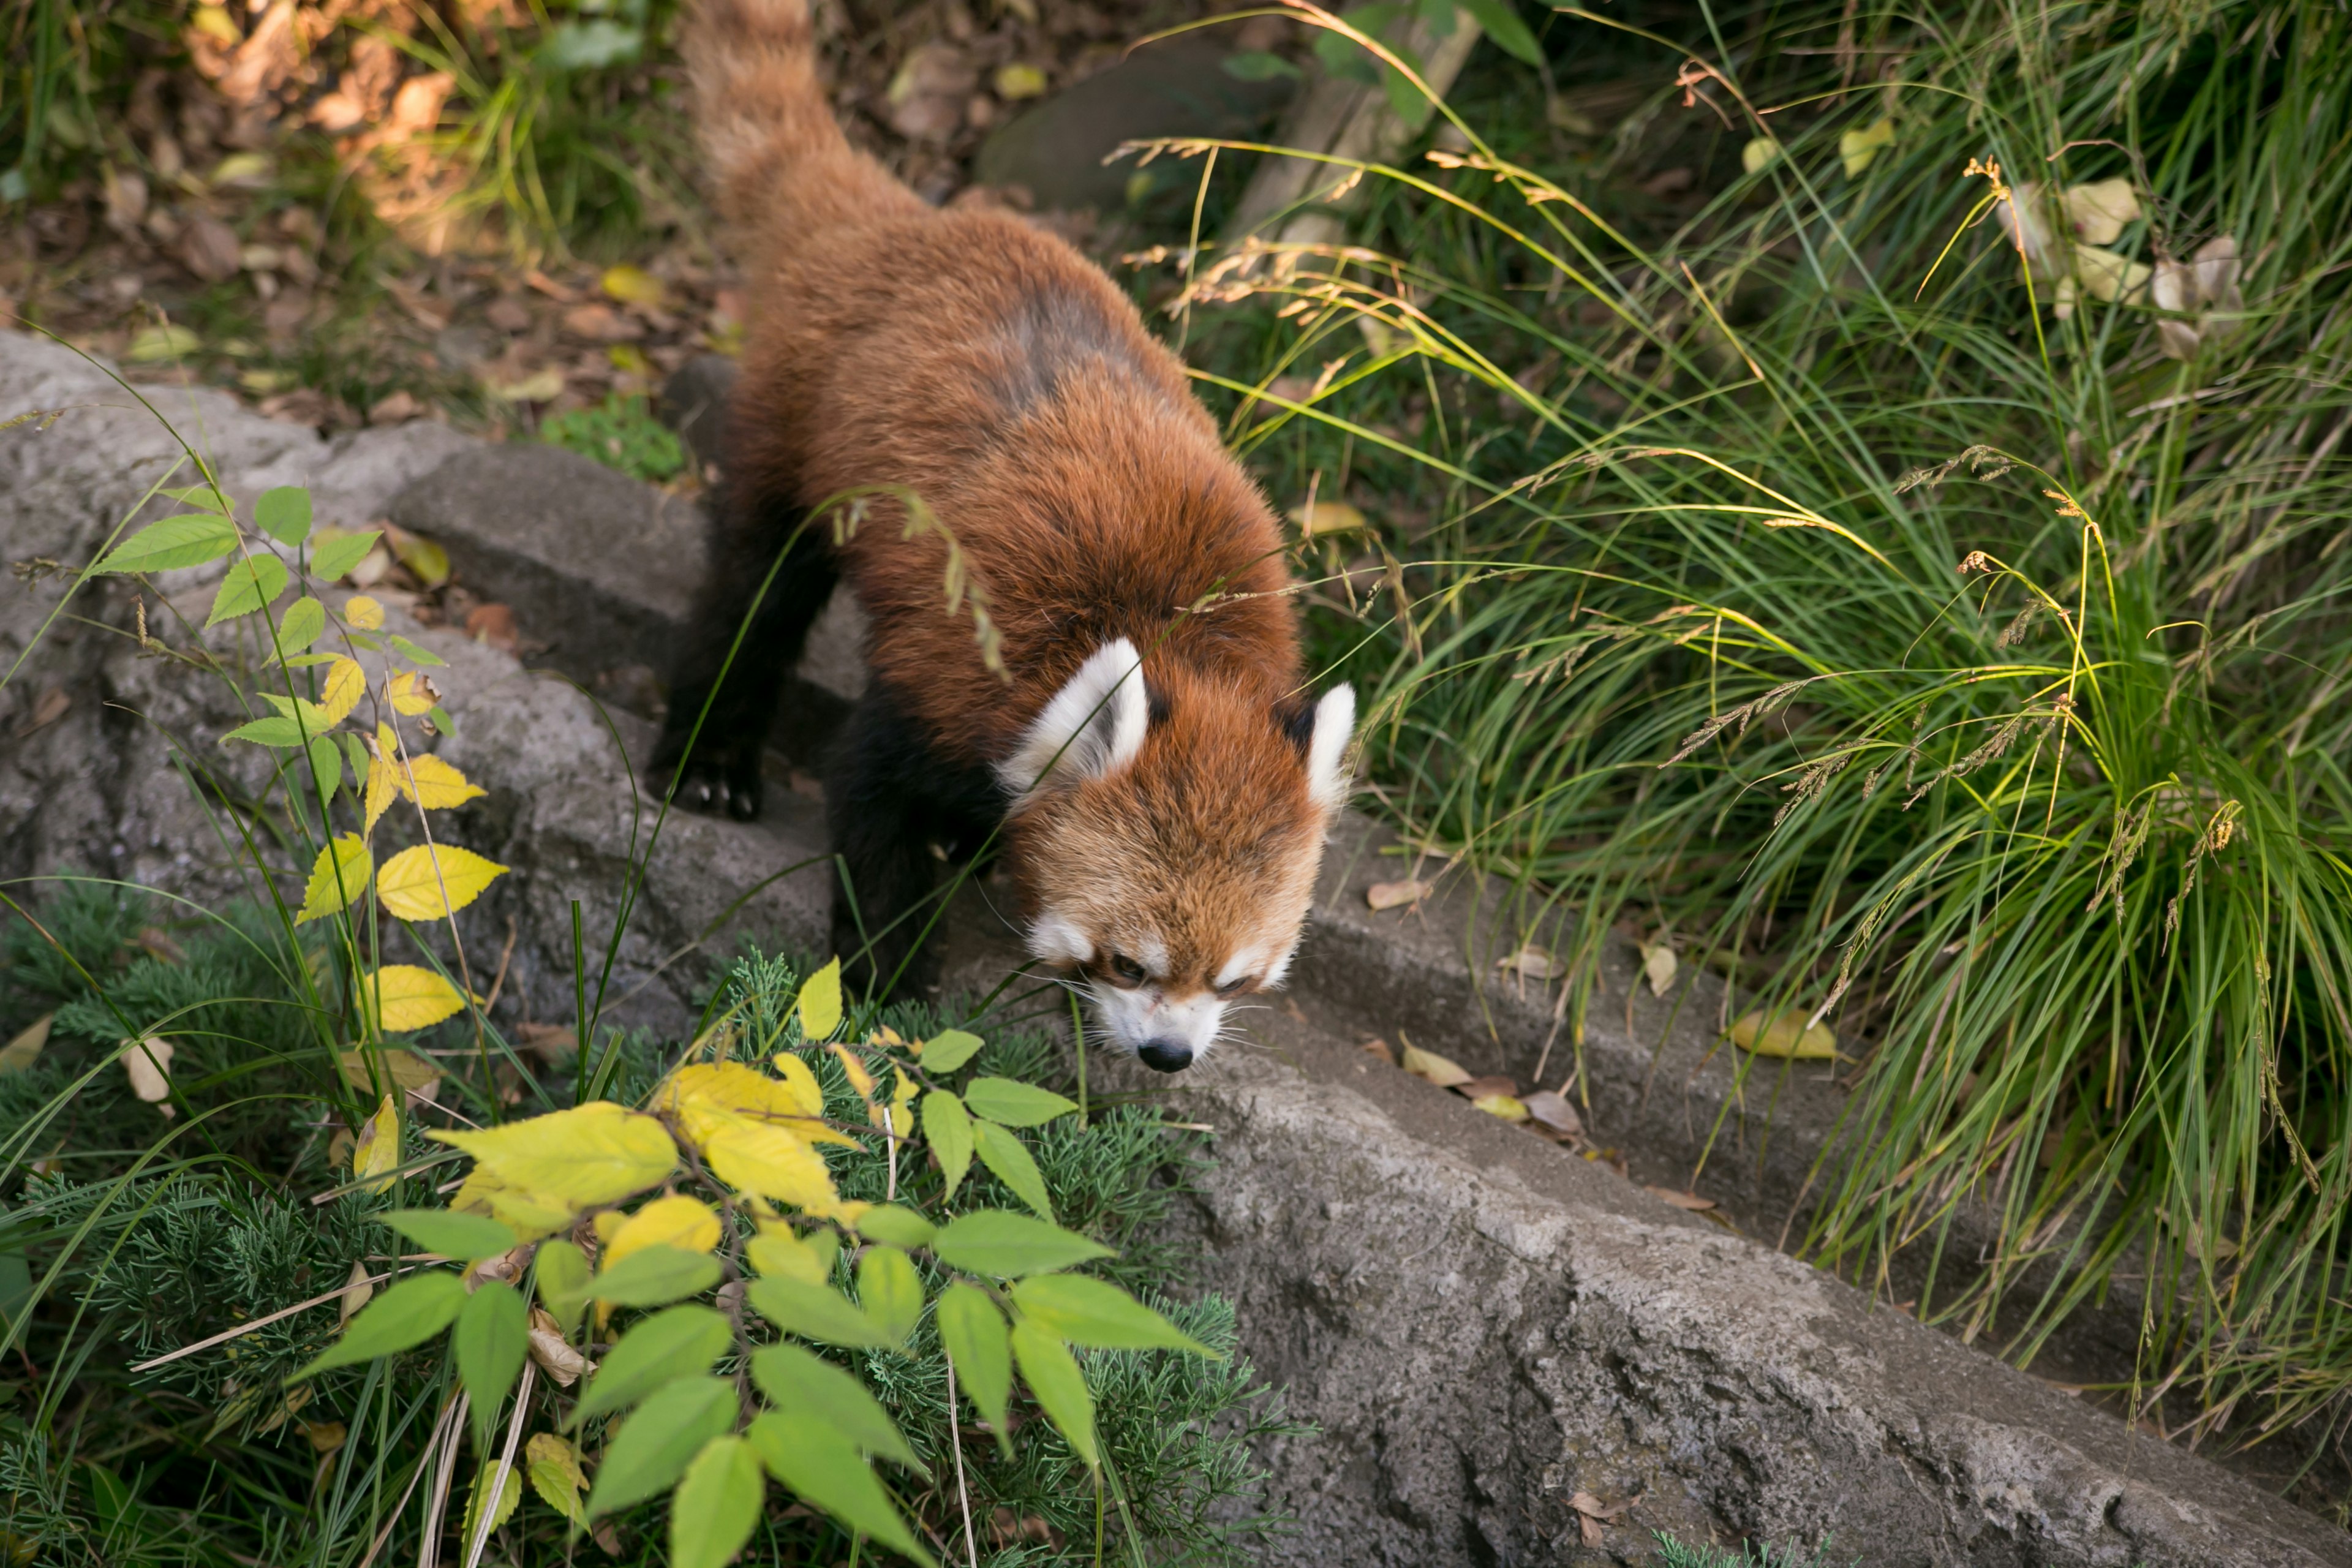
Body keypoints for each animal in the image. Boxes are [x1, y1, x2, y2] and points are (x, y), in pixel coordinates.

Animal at [663, 0, 1364, 1072]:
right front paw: (888, 985)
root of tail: (904, 223)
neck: (1173, 643)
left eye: (1234, 978)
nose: (1169, 1057)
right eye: (1127, 962)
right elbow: (868, 798)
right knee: (755, 589)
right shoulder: (952, 674)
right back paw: (708, 759)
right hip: (802, 429)